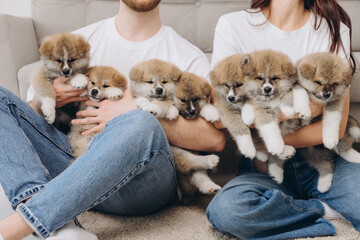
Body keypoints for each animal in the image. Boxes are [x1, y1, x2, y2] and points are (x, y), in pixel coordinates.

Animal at [173, 72, 221, 200]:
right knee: (190, 160)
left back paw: (210, 187)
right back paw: (210, 160)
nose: (192, 111)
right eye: (183, 100)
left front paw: (212, 113)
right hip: (176, 151)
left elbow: (205, 107)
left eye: (196, 99)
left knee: (198, 175)